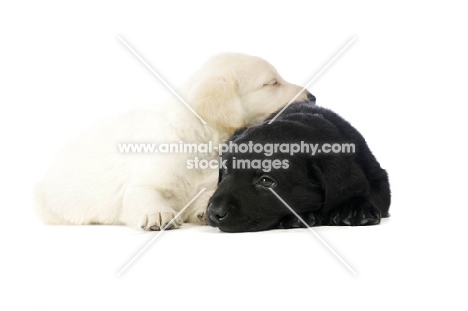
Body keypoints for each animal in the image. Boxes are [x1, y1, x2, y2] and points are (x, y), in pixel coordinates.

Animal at [35, 52, 314, 230]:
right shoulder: (143, 184)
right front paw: (158, 213)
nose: (312, 97)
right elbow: (146, 195)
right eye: (272, 83)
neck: (200, 143)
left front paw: (202, 209)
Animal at [208, 103, 392, 233]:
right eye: (225, 172)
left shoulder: (378, 177)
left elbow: (371, 193)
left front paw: (356, 209)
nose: (214, 212)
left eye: (266, 181)